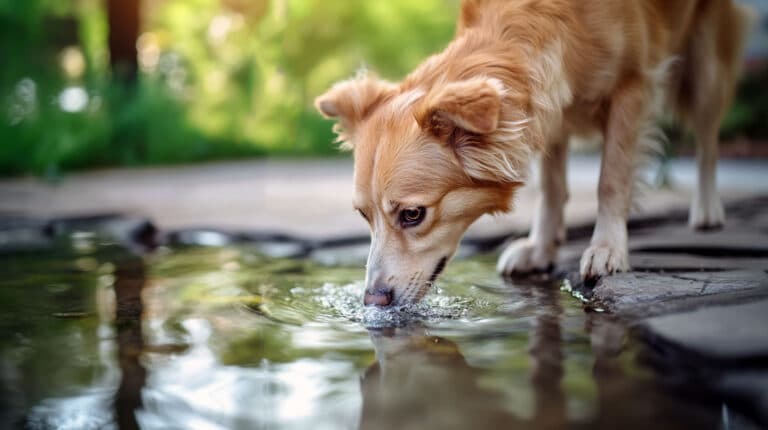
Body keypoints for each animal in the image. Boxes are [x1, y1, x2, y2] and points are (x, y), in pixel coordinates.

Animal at [316, 0, 752, 306]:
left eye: (412, 215)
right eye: (363, 216)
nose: (372, 301)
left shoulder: (633, 85)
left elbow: (612, 179)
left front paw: (607, 248)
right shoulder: (549, 109)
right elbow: (551, 186)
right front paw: (541, 249)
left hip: (706, 68)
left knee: (708, 141)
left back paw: (707, 209)